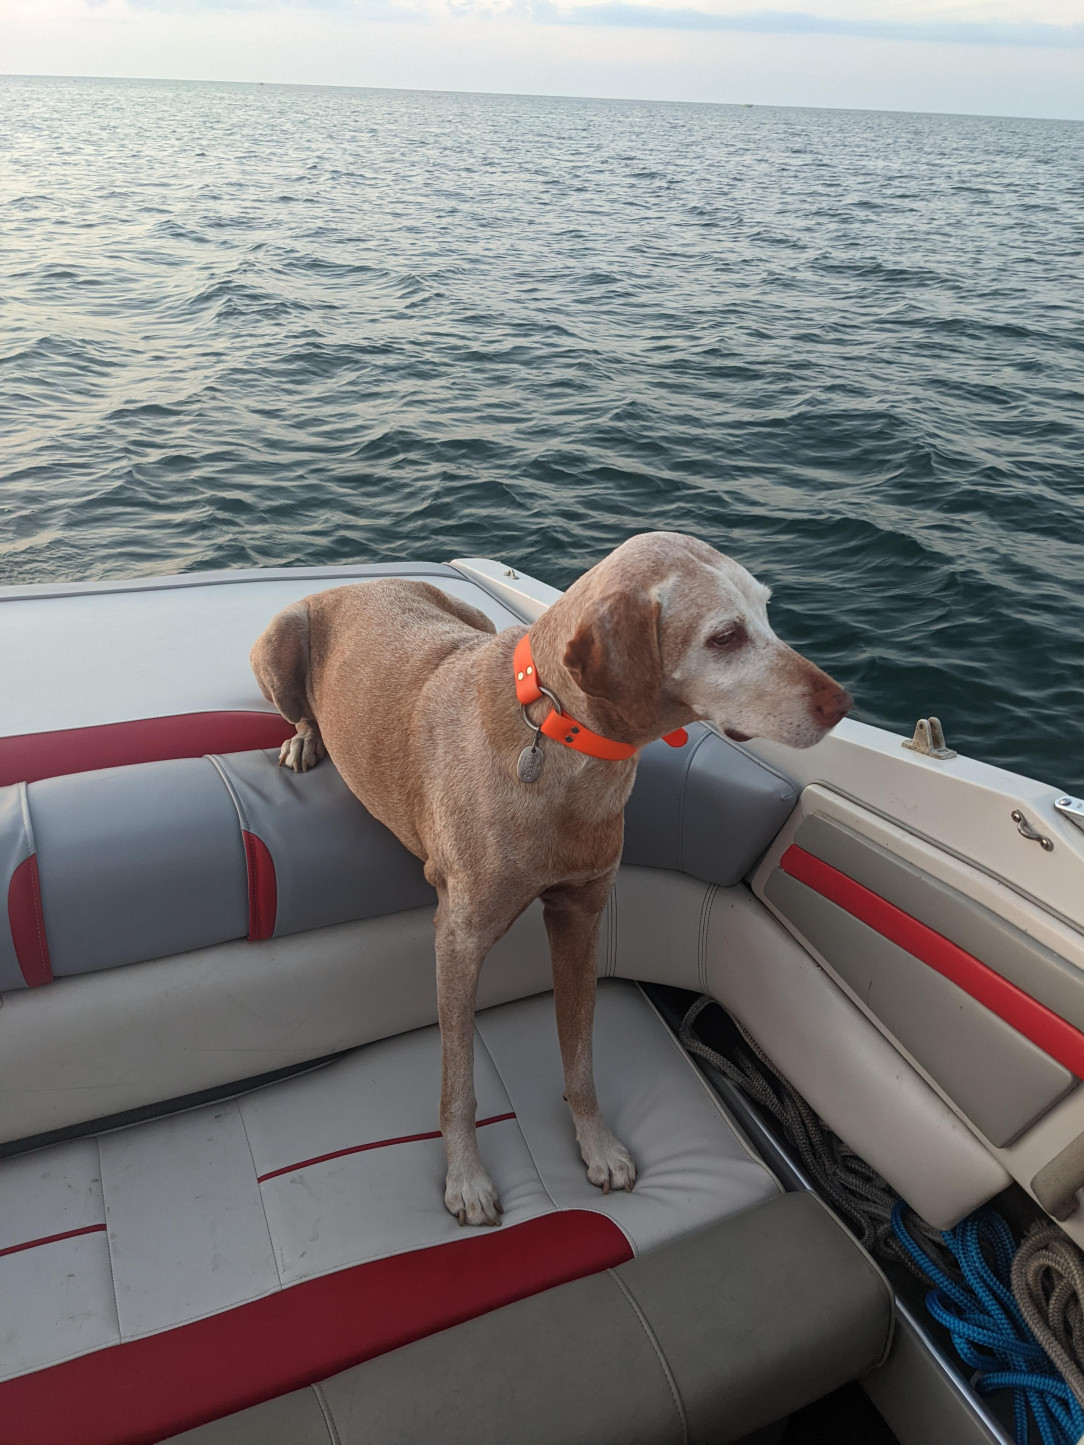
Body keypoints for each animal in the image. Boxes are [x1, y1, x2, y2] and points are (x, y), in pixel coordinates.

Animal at [250, 537, 855, 1225]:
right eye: (725, 636)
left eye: (767, 611)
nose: (842, 704)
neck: (563, 740)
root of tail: (357, 580)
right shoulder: (457, 938)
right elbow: (459, 1081)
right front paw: (467, 1178)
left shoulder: (581, 919)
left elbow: (581, 1058)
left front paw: (597, 1145)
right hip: (280, 642)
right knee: (298, 712)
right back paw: (304, 742)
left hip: (473, 617)